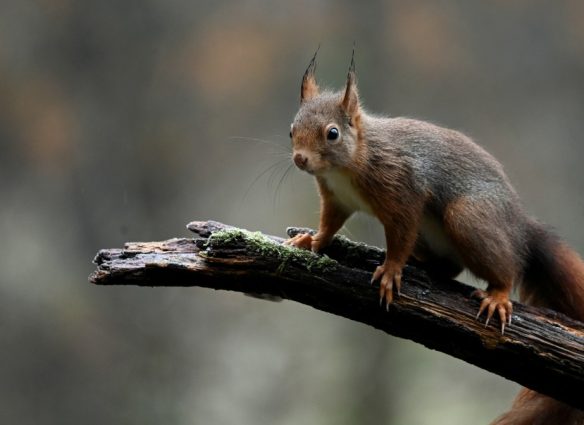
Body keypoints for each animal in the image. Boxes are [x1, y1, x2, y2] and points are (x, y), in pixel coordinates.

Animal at [286, 48, 584, 420]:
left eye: (332, 134)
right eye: (291, 129)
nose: (300, 159)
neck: (349, 163)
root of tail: (520, 227)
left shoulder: (403, 191)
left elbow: (399, 234)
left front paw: (392, 270)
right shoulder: (336, 198)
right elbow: (329, 224)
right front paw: (311, 240)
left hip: (468, 218)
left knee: (506, 267)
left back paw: (497, 294)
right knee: (451, 267)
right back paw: (424, 264)